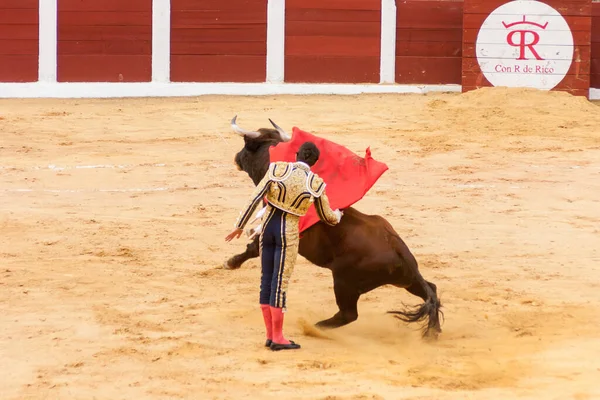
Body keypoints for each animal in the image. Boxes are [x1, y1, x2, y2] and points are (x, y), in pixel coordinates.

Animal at [223, 115, 442, 338]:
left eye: (247, 145)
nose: (236, 158)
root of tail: (399, 249)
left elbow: (253, 248)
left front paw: (231, 262)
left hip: (344, 283)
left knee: (348, 314)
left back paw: (314, 327)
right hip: (407, 280)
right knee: (431, 290)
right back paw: (433, 332)